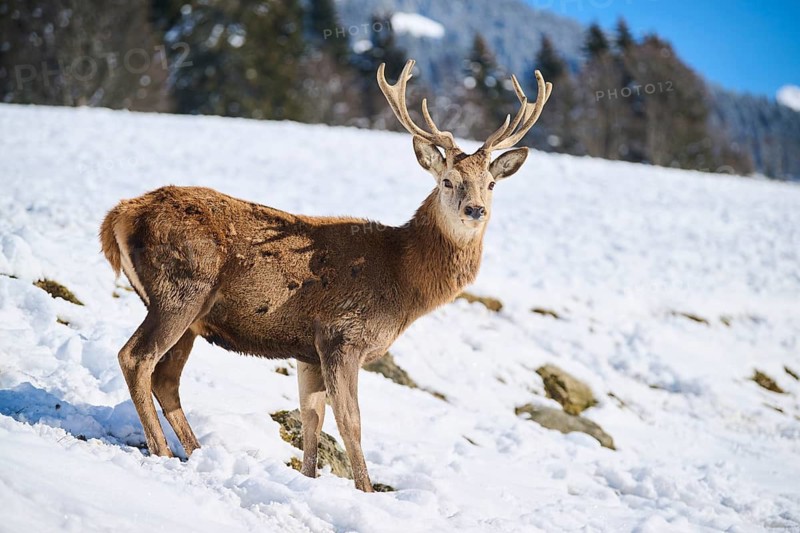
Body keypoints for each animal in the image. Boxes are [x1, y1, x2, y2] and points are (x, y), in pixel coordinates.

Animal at [99, 59, 551, 492]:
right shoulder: (342, 335)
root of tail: (118, 215)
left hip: (193, 317)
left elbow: (311, 417)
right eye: (447, 181)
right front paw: (365, 492)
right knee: (136, 358)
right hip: (180, 290)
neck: (402, 281)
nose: (475, 210)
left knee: (166, 379)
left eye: (491, 183)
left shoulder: (308, 350)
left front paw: (310, 481)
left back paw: (195, 452)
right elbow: (351, 421)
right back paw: (163, 452)